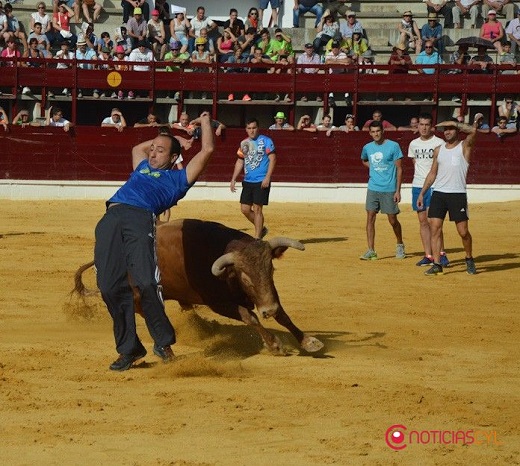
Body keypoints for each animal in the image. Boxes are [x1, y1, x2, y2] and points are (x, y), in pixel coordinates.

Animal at [73, 218, 322, 354]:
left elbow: (283, 314)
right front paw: (275, 345)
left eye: (270, 269)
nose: (267, 311)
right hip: (138, 299)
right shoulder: (219, 303)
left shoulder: (267, 293)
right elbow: (250, 316)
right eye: (245, 277)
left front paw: (309, 341)